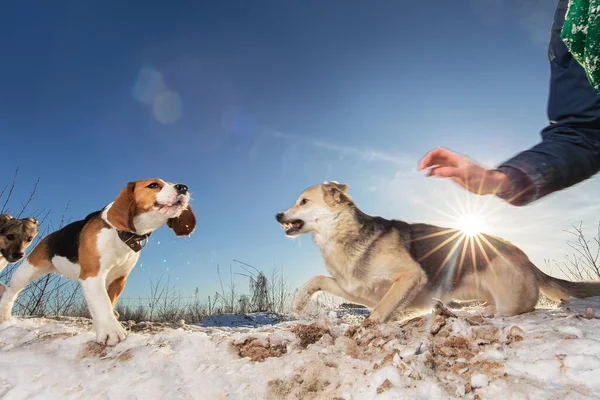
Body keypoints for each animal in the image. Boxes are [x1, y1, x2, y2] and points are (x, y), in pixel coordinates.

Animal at [0, 180, 196, 346]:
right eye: (154, 185)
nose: (183, 187)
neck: (121, 234)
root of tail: (51, 235)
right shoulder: (93, 276)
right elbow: (102, 303)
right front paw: (111, 332)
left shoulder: (119, 280)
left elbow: (108, 302)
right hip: (26, 271)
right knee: (10, 292)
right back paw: (4, 314)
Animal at [278, 183, 600, 324]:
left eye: (303, 201)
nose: (277, 215)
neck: (343, 234)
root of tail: (527, 259)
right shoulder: (358, 289)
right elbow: (317, 280)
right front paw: (298, 303)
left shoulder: (409, 277)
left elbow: (381, 310)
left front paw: (370, 326)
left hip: (510, 300)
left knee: (518, 309)